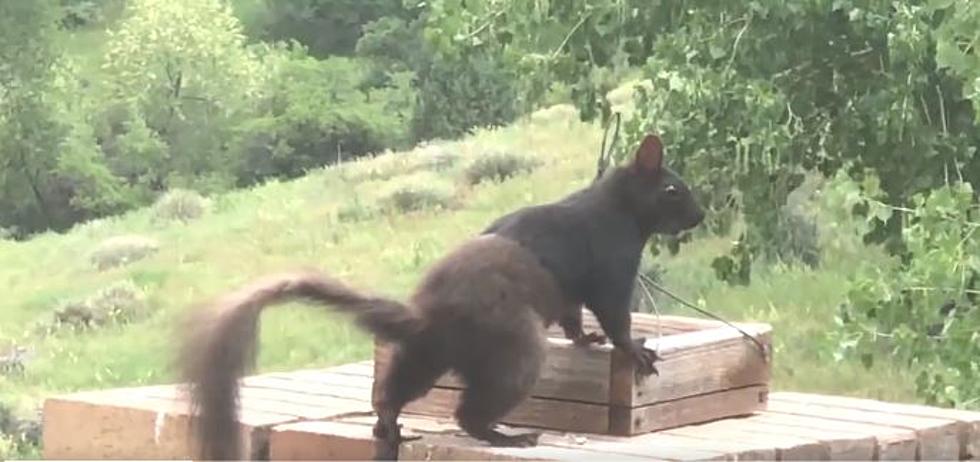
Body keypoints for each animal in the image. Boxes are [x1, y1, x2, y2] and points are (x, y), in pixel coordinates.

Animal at [176, 133, 704, 458]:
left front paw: (585, 340)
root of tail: (428, 317)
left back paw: (389, 425)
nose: (699, 216)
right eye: (673, 190)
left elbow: (575, 318)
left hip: (425, 359)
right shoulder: (612, 268)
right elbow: (615, 317)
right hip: (514, 350)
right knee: (468, 413)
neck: (617, 208)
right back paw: (508, 437)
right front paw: (634, 351)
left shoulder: (575, 291)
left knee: (393, 394)